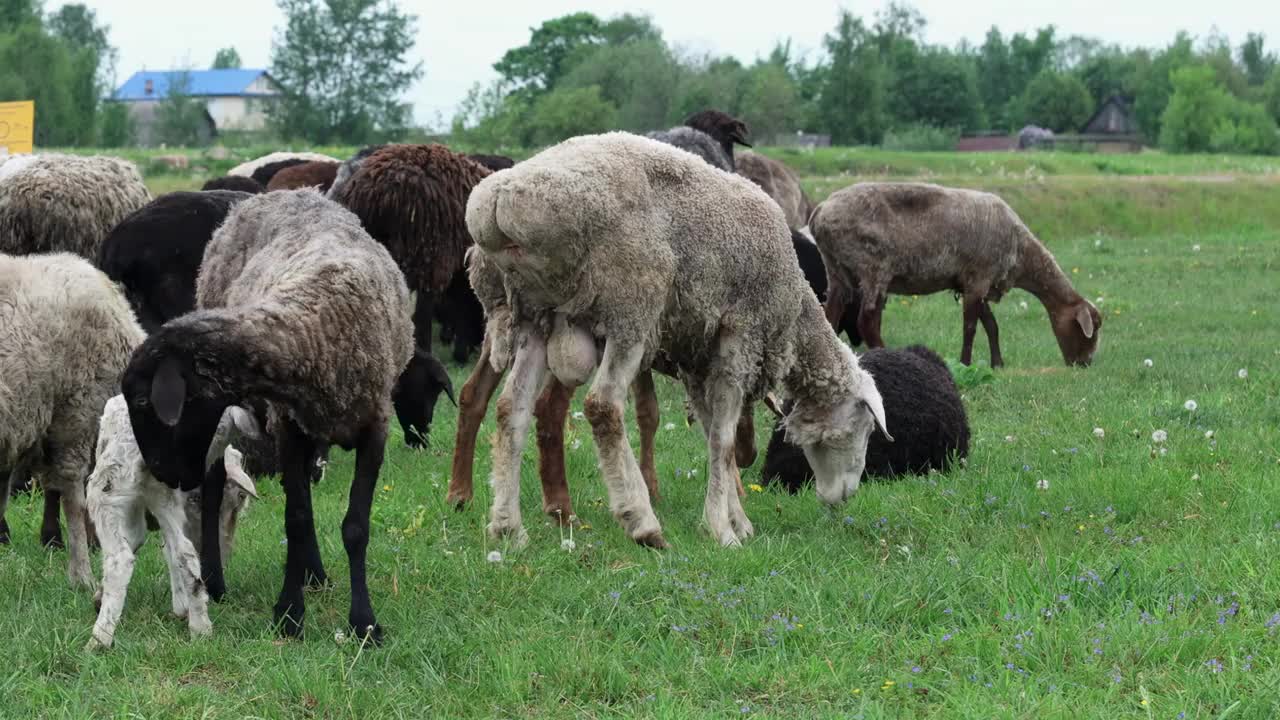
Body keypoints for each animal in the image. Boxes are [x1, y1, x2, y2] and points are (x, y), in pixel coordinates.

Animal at [86, 394, 261, 648]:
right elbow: (163, 547)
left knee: (120, 559)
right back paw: (200, 626)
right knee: (184, 552)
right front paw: (182, 606)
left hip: (106, 488)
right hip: (163, 493)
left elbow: (135, 539)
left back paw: (99, 639)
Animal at [119, 189, 409, 638]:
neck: (318, 327)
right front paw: (290, 614)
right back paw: (217, 581)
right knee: (216, 485)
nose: (164, 475)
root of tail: (275, 194)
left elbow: (355, 527)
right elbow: (296, 517)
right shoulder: (287, 427)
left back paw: (315, 574)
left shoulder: (373, 429)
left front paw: (363, 622)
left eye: (142, 401)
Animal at [808, 181, 1100, 366]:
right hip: (873, 266)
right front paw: (965, 363)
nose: (1084, 364)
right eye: (1091, 329)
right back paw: (886, 352)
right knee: (867, 320)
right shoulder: (979, 278)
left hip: (836, 267)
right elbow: (970, 327)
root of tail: (820, 211)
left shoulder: (975, 283)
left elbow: (991, 325)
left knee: (830, 313)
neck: (1021, 252)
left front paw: (997, 363)